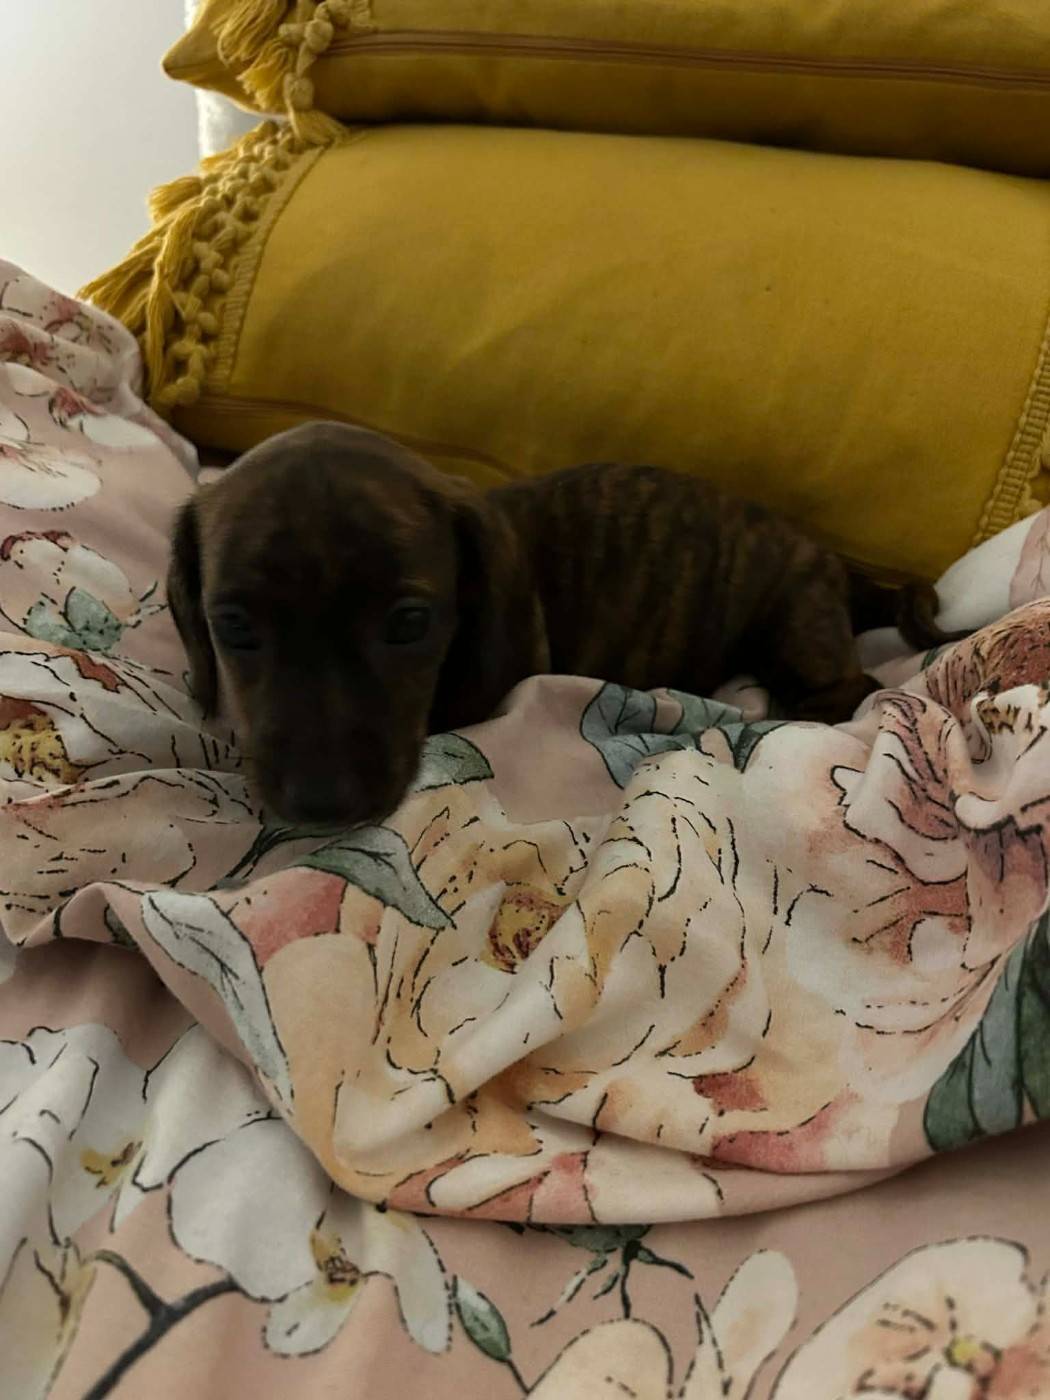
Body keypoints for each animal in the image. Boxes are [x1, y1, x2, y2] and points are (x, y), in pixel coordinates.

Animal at [167, 421, 961, 826]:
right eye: (233, 625)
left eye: (409, 623)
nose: (322, 805)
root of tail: (838, 565)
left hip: (792, 619)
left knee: (851, 686)